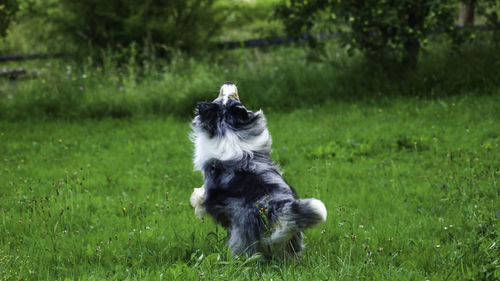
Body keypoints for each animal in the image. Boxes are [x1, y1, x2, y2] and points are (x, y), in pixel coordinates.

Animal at [189, 82, 326, 258]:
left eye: (229, 96)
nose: (229, 83)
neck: (227, 128)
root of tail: (276, 209)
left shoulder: (210, 193)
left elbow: (200, 197)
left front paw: (196, 197)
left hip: (243, 236)